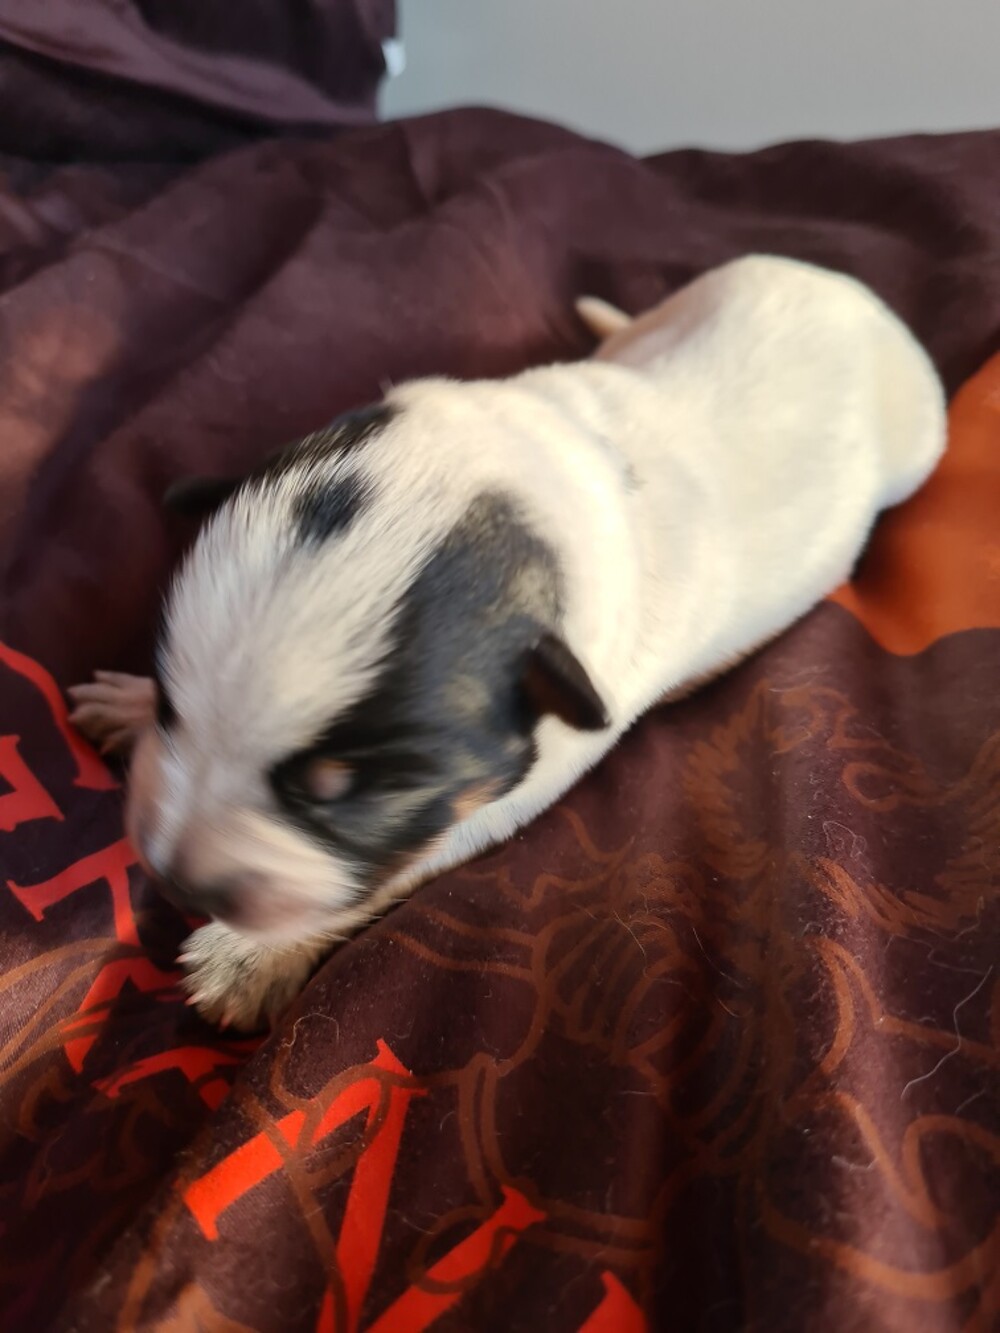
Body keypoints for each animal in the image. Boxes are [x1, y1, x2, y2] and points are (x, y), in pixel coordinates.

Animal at [69, 255, 947, 1030]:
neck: (531, 468)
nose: (174, 880)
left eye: (345, 792)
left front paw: (247, 957)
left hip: (918, 437)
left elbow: (390, 870)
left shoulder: (513, 787)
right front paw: (126, 703)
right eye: (173, 708)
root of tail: (842, 287)